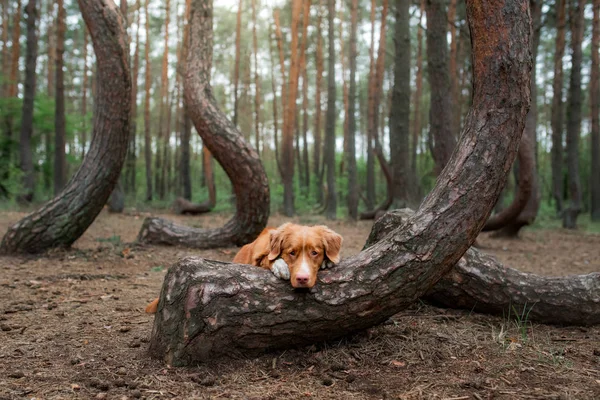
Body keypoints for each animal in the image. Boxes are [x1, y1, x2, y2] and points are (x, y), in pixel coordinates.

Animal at [145, 223, 342, 314]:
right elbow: (268, 258)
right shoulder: (259, 257)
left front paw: (328, 261)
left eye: (315, 253)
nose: (302, 279)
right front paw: (281, 266)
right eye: (291, 253)